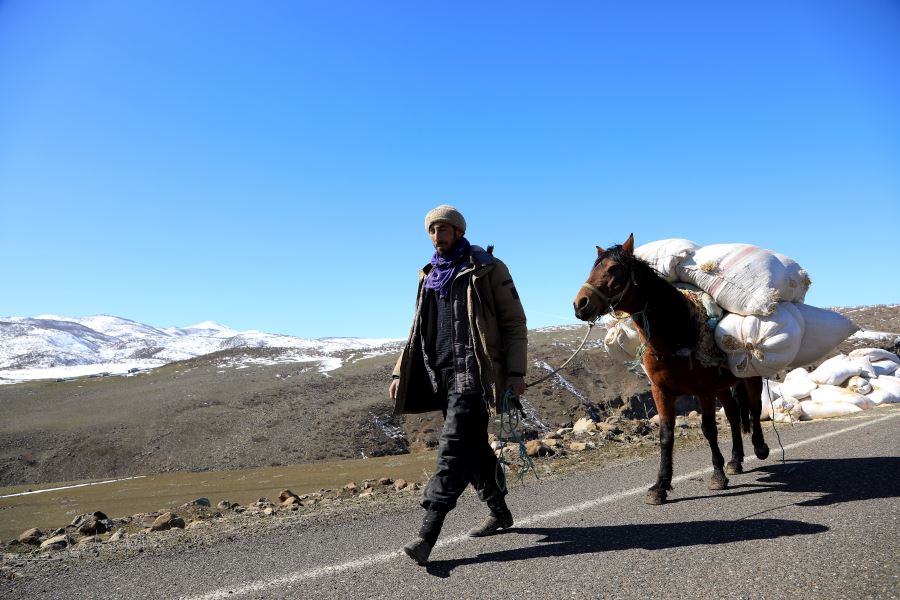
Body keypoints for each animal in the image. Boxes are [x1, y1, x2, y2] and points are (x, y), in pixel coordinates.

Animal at [576, 232, 768, 504]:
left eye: (613, 269)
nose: (580, 304)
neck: (678, 330)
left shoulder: (704, 391)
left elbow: (709, 429)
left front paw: (717, 475)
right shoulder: (662, 391)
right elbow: (666, 435)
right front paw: (660, 486)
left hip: (748, 377)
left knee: (753, 407)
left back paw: (759, 448)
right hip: (723, 386)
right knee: (732, 415)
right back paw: (735, 460)